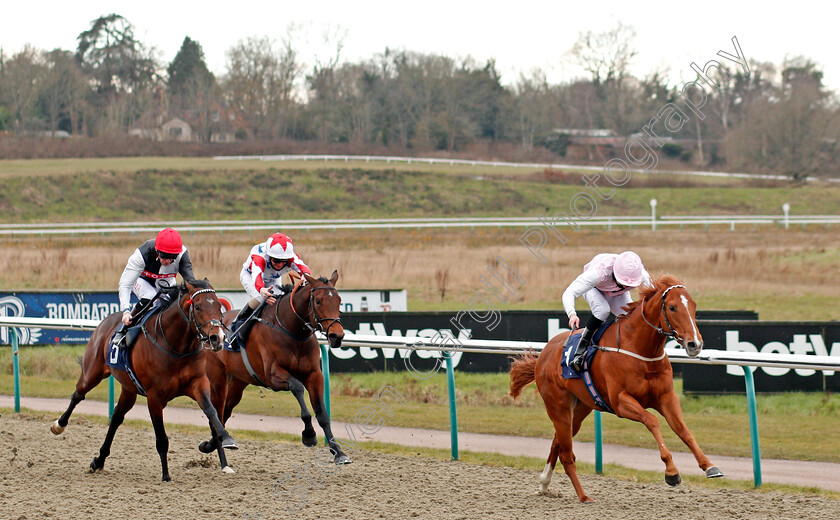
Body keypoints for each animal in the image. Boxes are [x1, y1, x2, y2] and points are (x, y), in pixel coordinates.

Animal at [50, 278, 235, 482]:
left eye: (219, 306)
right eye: (198, 306)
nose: (217, 338)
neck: (176, 346)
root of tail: (105, 322)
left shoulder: (198, 384)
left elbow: (213, 414)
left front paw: (226, 448)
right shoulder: (154, 397)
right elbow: (161, 438)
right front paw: (166, 475)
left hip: (129, 389)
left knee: (116, 418)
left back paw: (99, 460)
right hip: (93, 372)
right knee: (78, 394)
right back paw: (59, 425)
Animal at [202, 270, 350, 474]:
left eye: (339, 300)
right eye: (318, 301)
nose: (337, 336)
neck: (293, 331)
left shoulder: (314, 375)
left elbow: (322, 413)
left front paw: (338, 452)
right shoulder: (273, 375)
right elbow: (297, 388)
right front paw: (309, 434)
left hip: (238, 383)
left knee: (225, 413)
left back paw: (213, 445)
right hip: (217, 379)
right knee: (216, 412)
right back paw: (221, 455)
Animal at [508, 276, 724, 504]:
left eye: (693, 306)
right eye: (672, 307)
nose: (695, 344)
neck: (640, 350)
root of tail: (544, 354)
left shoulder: (666, 397)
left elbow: (683, 430)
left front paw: (709, 466)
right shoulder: (620, 402)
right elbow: (652, 420)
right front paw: (672, 472)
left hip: (580, 409)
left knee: (557, 443)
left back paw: (544, 484)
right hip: (558, 408)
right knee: (567, 455)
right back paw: (583, 496)